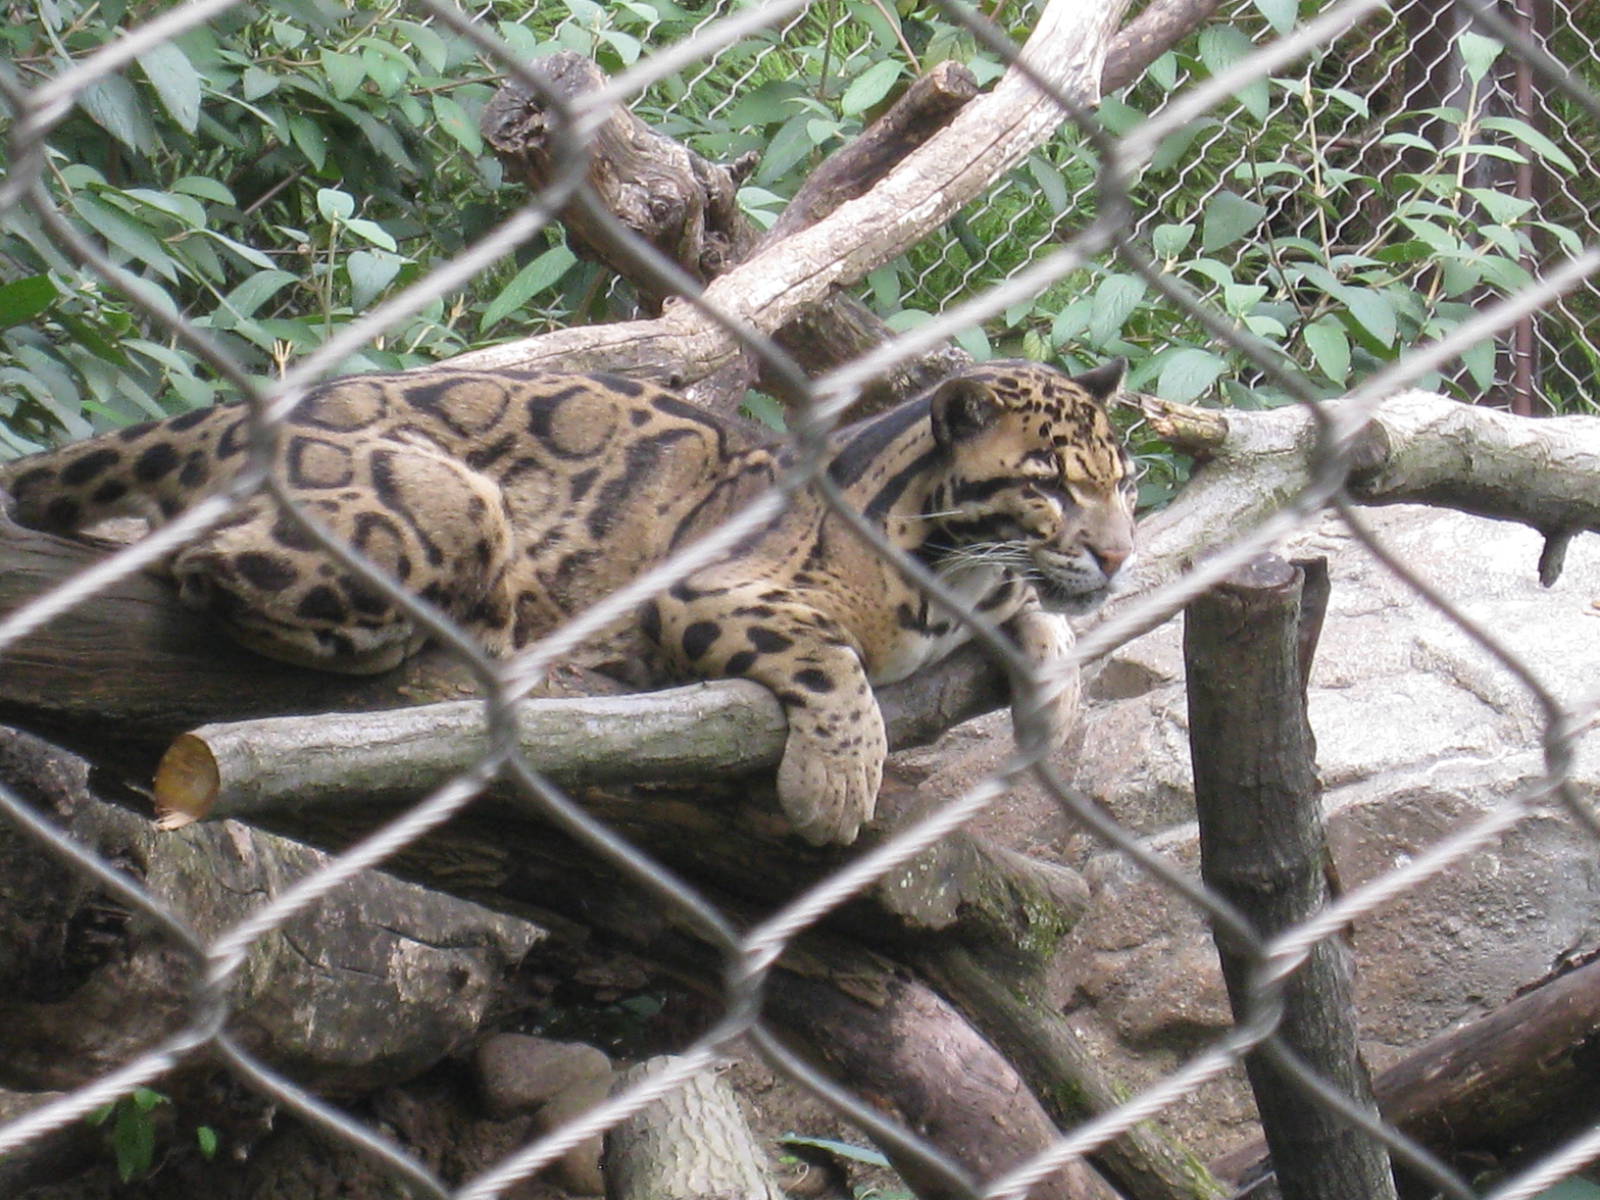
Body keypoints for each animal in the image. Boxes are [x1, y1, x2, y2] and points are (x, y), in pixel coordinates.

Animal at [0, 359, 1136, 845]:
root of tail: (233, 414)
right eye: (1047, 486)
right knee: (198, 562)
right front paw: (835, 784)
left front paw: (1060, 698)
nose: (1122, 555)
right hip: (450, 503)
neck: (949, 579)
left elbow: (1039, 614)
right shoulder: (709, 589)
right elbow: (832, 660)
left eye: (1123, 481)